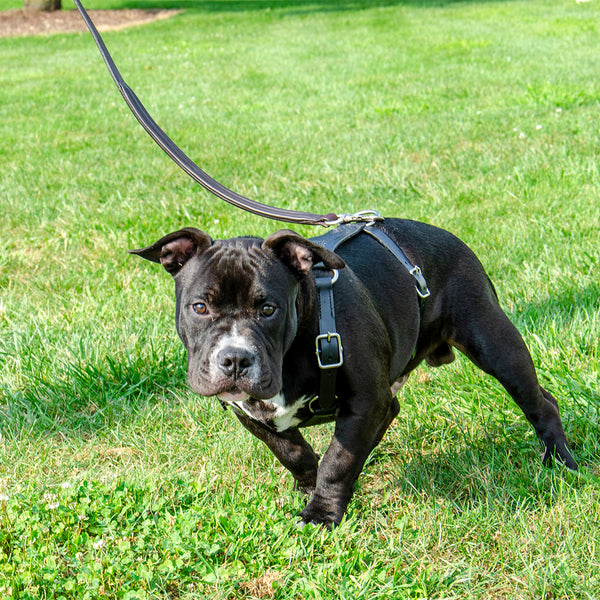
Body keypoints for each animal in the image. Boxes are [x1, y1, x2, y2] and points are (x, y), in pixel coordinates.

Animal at [131, 219, 576, 524]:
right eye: (199, 307)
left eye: (268, 309)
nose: (235, 359)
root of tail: (450, 237)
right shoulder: (252, 413)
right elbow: (293, 452)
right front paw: (309, 488)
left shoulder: (364, 401)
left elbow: (338, 459)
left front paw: (322, 513)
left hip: (495, 343)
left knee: (540, 402)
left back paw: (560, 459)